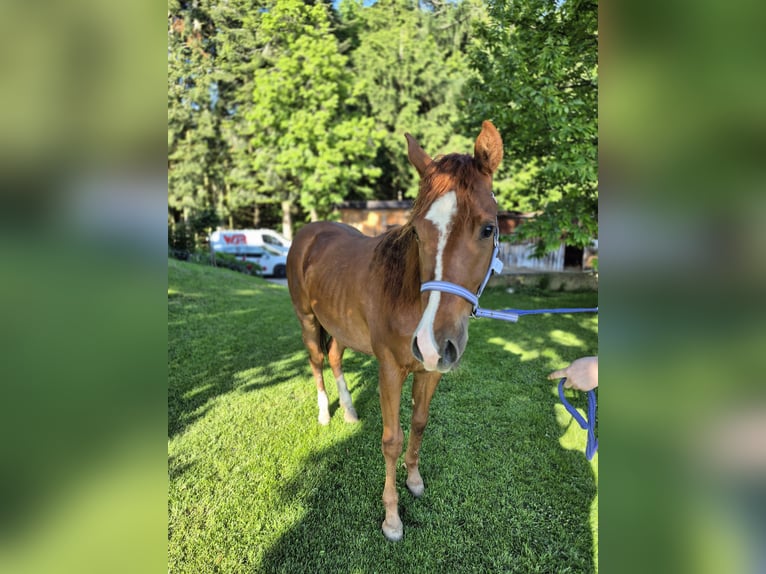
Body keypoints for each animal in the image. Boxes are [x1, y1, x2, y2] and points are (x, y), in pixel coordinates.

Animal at [286, 121, 503, 541]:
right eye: (417, 232)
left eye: (489, 228)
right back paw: (325, 414)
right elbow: (392, 439)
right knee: (317, 361)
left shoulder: (430, 371)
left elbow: (419, 423)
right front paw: (391, 517)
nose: (433, 342)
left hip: (340, 327)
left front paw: (414, 479)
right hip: (307, 320)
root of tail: (309, 233)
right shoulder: (389, 369)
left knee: (334, 358)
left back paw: (350, 413)